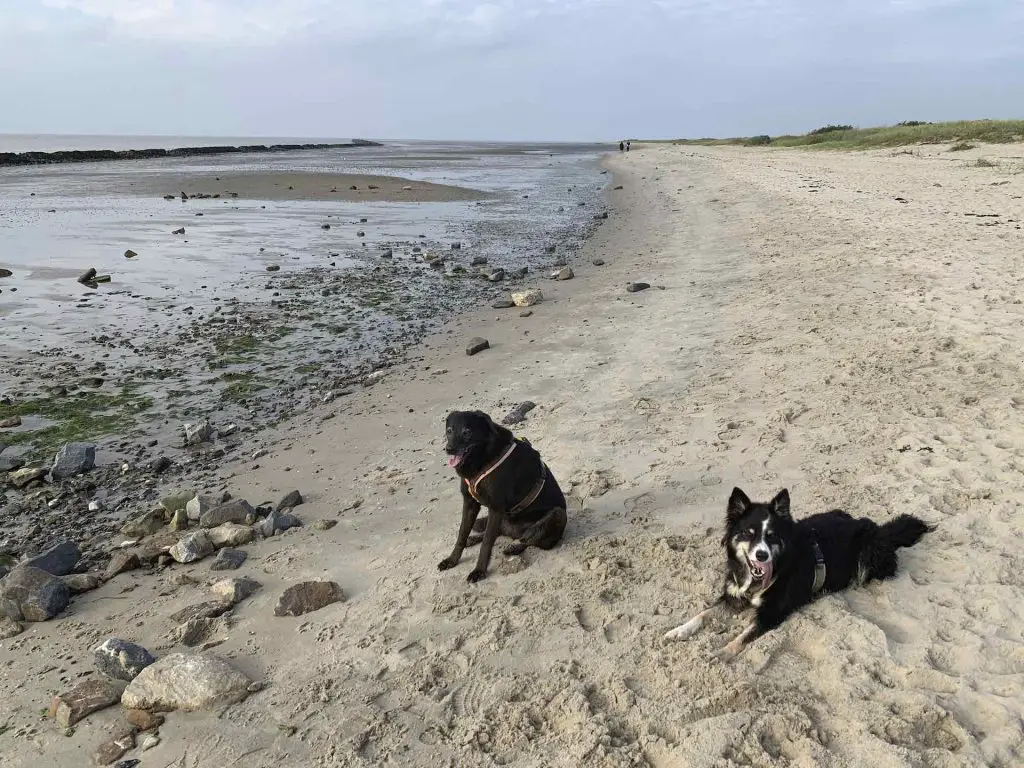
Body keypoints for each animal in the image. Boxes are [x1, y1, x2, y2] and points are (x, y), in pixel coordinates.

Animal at [438, 409, 569, 581]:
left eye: (467, 432)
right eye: (449, 431)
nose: (449, 449)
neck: (483, 458)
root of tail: (513, 532)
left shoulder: (495, 508)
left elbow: (487, 542)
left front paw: (479, 571)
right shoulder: (469, 503)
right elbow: (462, 533)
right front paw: (452, 560)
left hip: (557, 514)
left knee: (528, 540)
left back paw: (514, 547)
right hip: (496, 521)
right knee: (495, 532)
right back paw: (473, 539)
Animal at [667, 489, 933, 659]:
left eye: (772, 536)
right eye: (748, 533)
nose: (762, 555)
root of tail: (880, 530)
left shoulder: (770, 614)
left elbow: (742, 636)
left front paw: (721, 652)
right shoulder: (734, 597)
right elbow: (703, 614)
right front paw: (679, 630)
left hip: (869, 553)